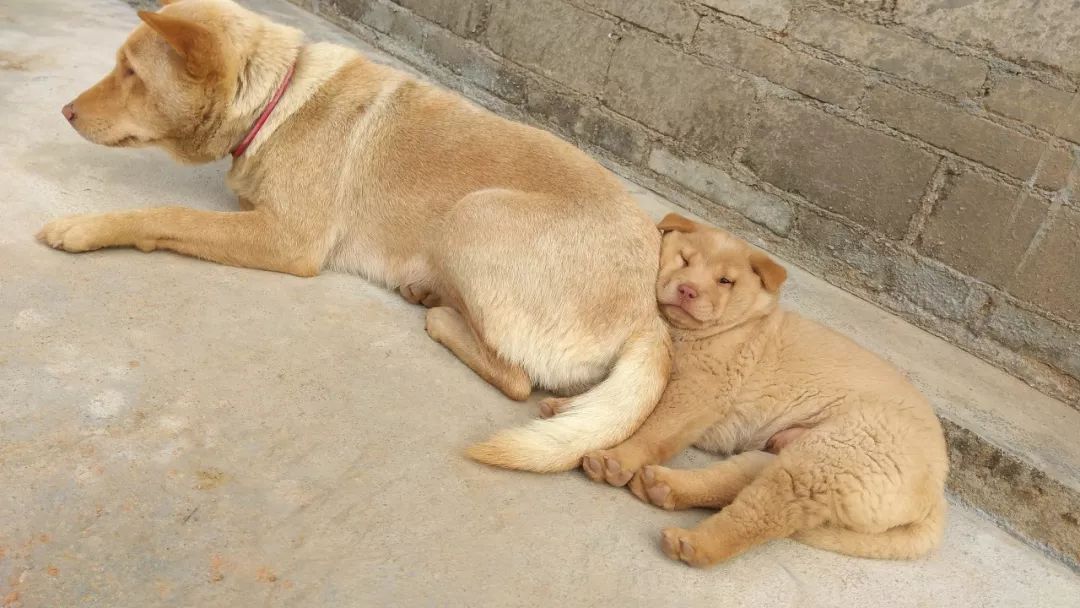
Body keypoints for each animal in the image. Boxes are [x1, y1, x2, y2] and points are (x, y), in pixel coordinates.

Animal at [38, 0, 669, 470]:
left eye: (131, 73)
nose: (64, 111)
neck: (278, 96)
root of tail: (649, 311)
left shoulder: (288, 241)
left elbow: (167, 215)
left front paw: (86, 226)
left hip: (476, 213)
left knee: (515, 378)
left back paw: (440, 312)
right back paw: (429, 291)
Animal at [583, 212, 946, 565]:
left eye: (725, 281)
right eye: (684, 259)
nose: (687, 290)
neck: (736, 325)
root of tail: (936, 497)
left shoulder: (701, 389)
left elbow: (654, 428)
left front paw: (618, 458)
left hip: (834, 457)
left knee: (760, 514)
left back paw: (694, 543)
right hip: (795, 453)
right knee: (739, 480)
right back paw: (664, 487)